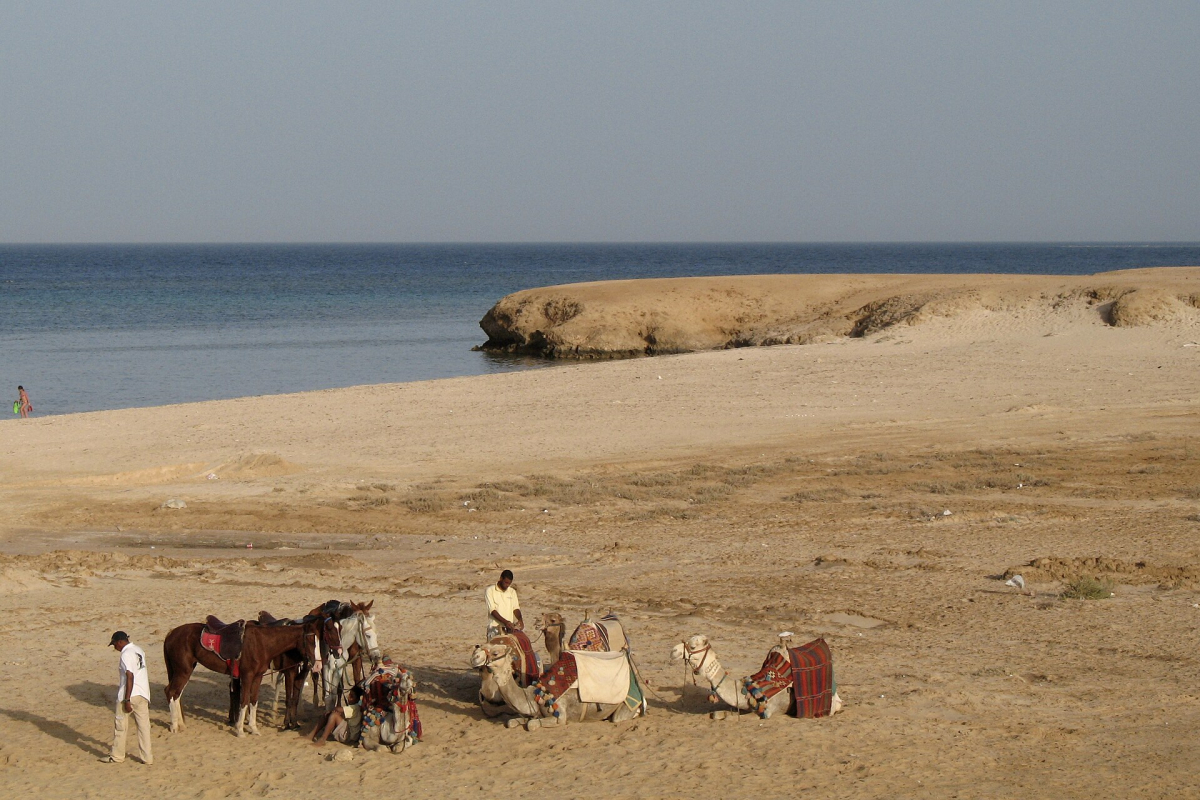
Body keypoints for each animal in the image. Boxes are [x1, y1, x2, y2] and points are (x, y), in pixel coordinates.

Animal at [470, 641, 644, 730]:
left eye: (495, 653)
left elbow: (532, 725)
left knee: (619, 718)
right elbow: (512, 722)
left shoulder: (560, 715)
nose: (474, 656)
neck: (534, 695)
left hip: (627, 704)